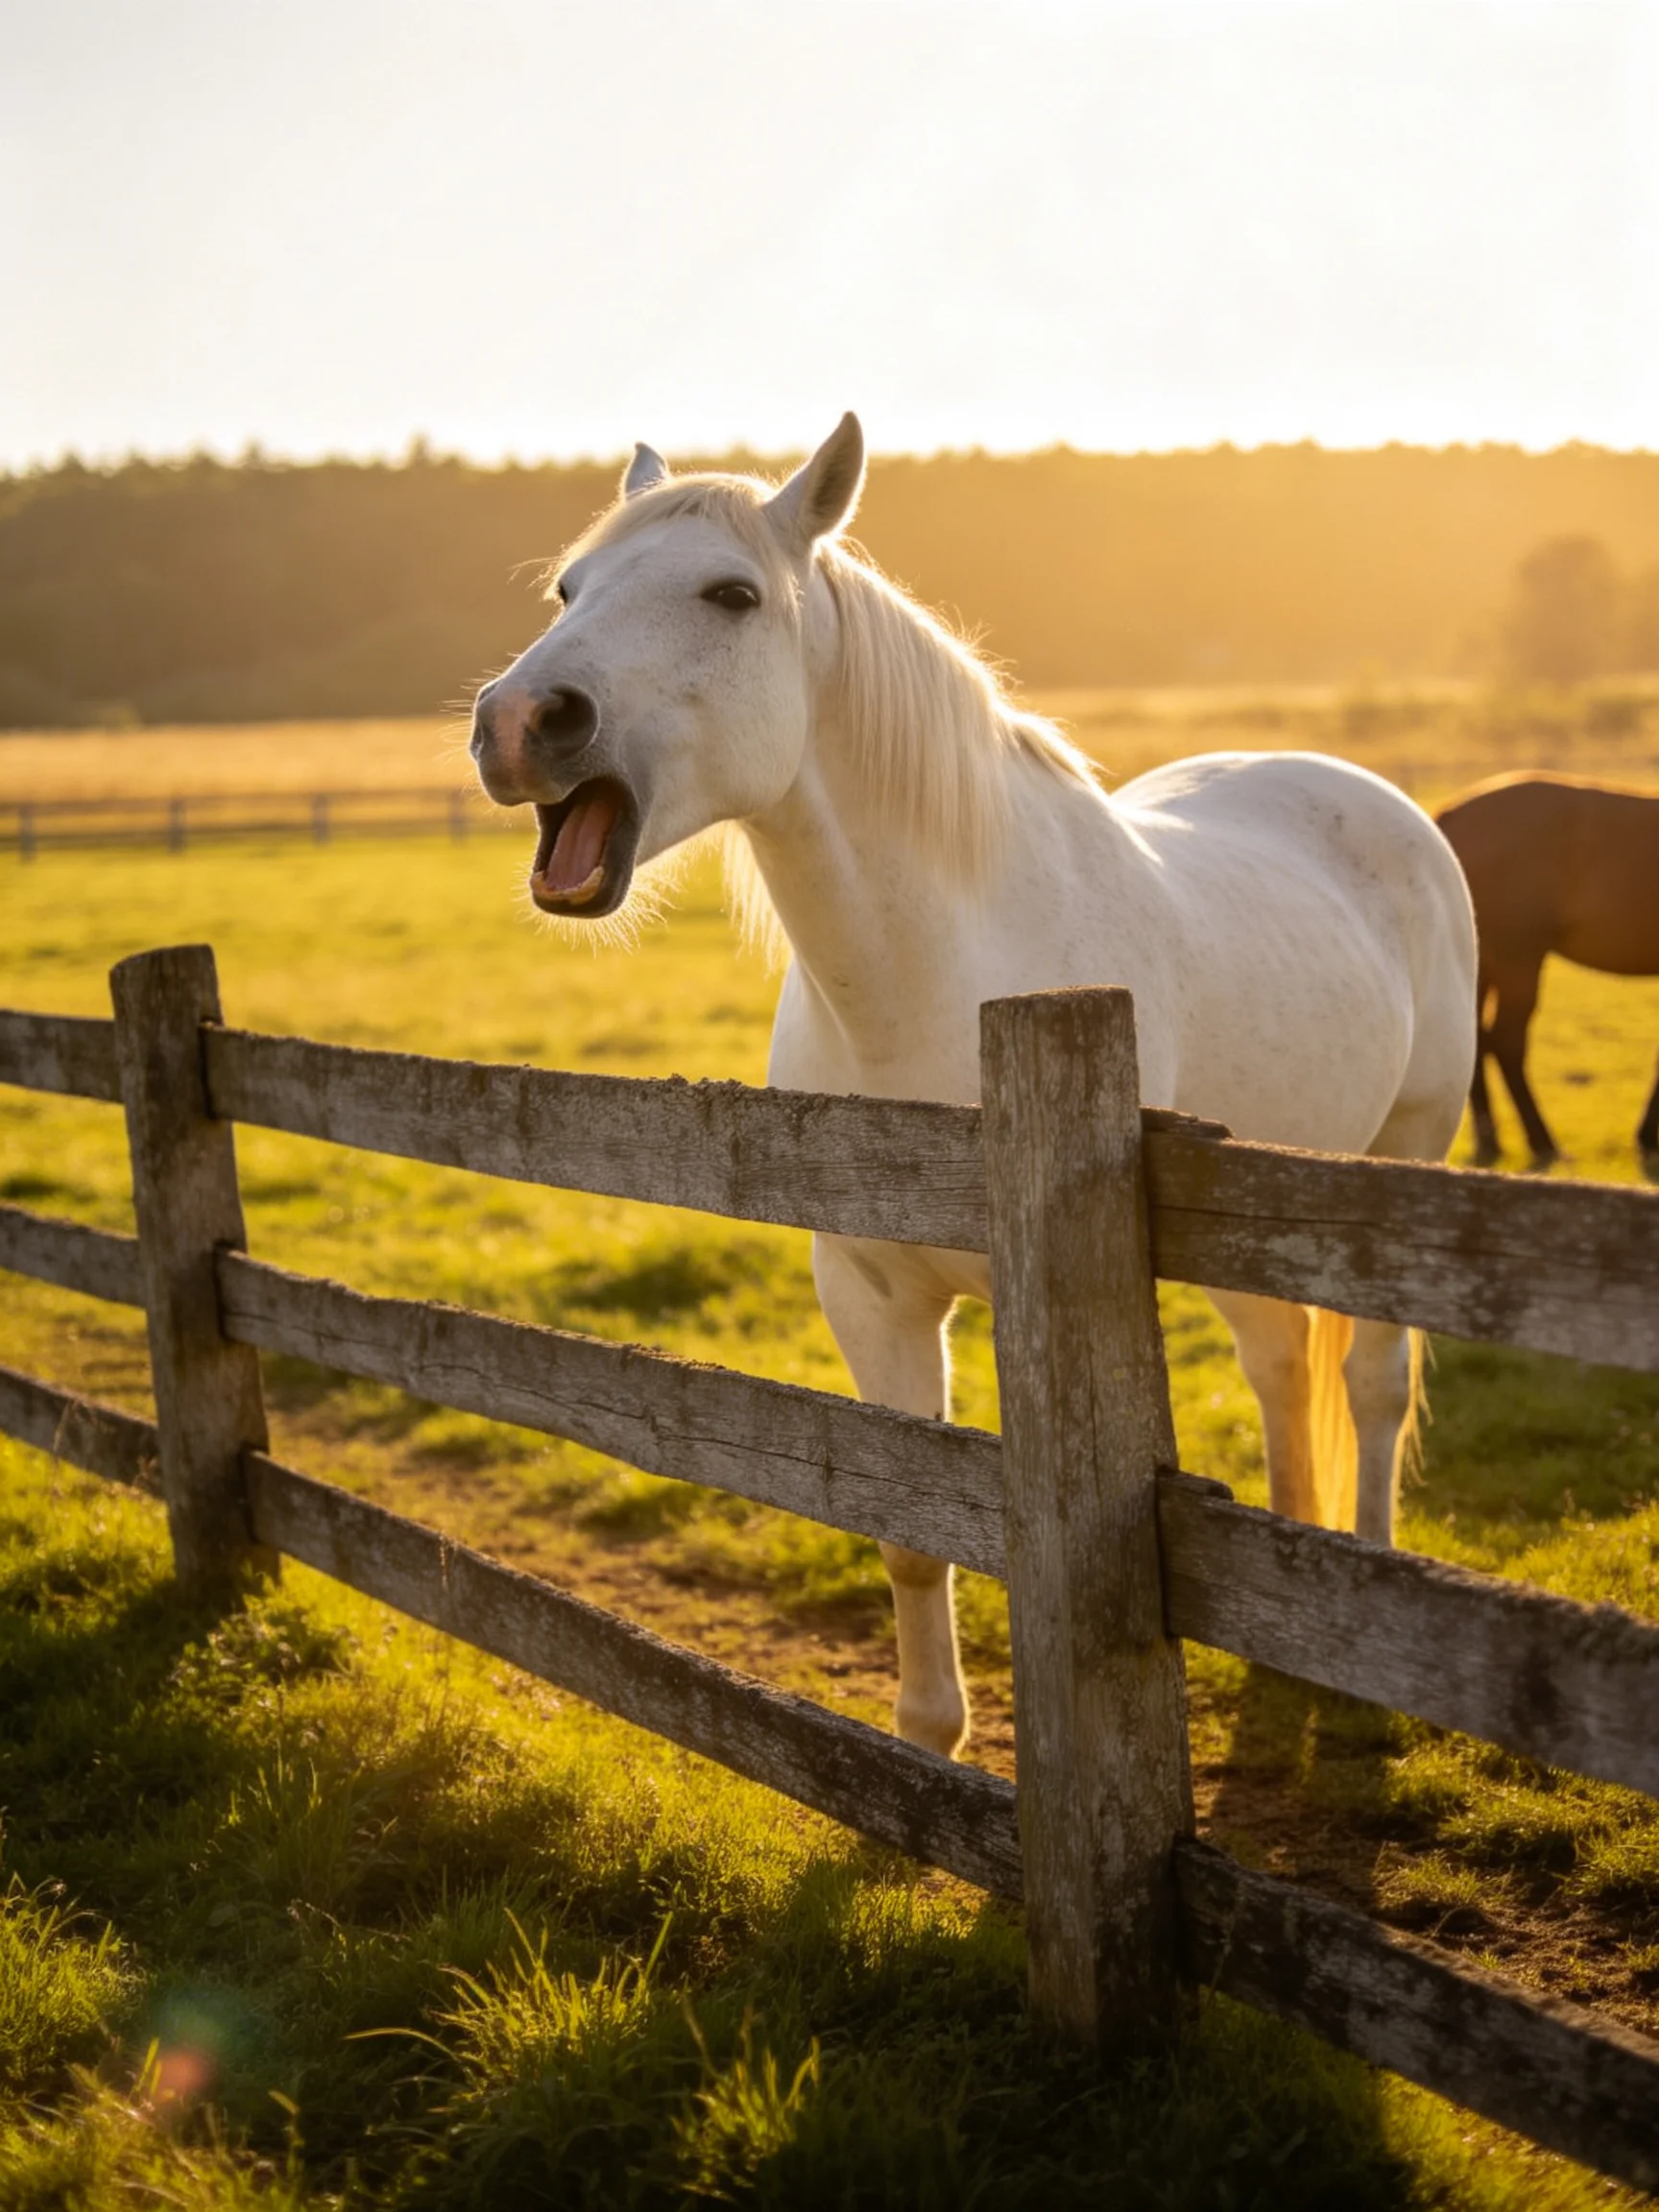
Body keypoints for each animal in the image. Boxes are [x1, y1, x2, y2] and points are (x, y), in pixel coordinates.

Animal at [470, 414, 1477, 1759]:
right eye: (569, 591)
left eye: (733, 595)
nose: (520, 720)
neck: (931, 980)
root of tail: (1369, 793)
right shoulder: (870, 1296)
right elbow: (911, 1533)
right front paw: (927, 1743)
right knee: (1280, 1370)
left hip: (1403, 1164)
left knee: (1372, 1386)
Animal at [1434, 774, 1659, 1172]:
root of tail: (1452, 815)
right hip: (1519, 959)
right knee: (1507, 1040)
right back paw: (1542, 1142)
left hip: (1485, 963)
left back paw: (1490, 1139)